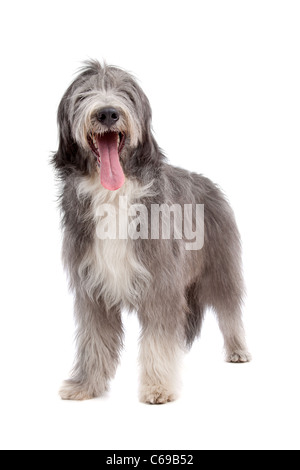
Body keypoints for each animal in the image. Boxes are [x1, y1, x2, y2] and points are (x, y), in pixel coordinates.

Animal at [52, 58, 251, 404]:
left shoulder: (161, 282)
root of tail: (210, 183)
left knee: (230, 309)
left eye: (125, 93)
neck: (113, 194)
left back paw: (238, 349)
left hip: (220, 267)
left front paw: (158, 387)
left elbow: (159, 338)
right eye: (84, 93)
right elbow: (93, 339)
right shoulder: (91, 288)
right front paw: (86, 386)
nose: (107, 113)